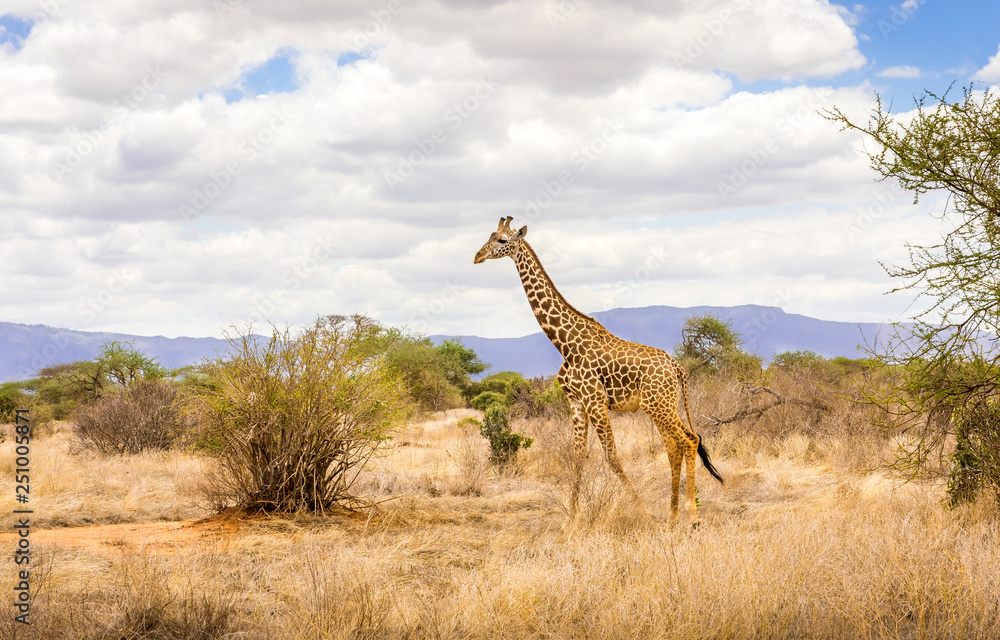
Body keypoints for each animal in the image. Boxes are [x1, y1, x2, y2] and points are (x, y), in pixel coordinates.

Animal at [474, 216, 724, 525]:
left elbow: (611, 456)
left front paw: (641, 508)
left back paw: (691, 515)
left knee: (690, 440)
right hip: (661, 405)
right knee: (676, 446)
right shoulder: (577, 402)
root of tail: (677, 367)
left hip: (659, 405)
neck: (564, 342)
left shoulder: (595, 401)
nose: (477, 256)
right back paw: (672, 514)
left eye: (502, 240)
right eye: (489, 236)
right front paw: (572, 513)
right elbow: (577, 456)